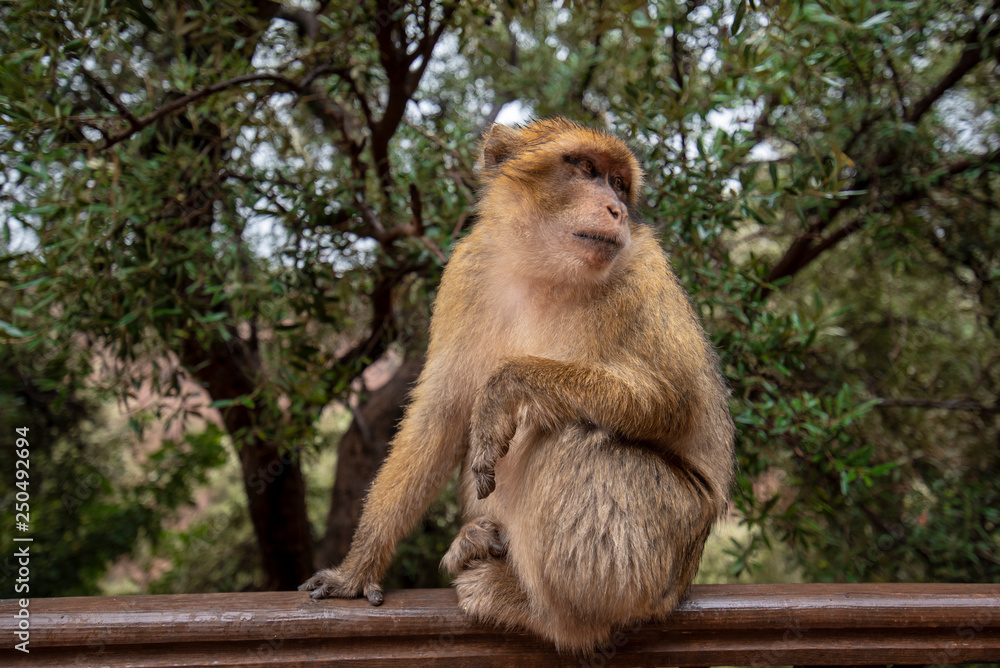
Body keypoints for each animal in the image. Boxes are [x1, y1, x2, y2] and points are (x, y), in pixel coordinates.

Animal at [300, 117, 735, 652]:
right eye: (585, 168)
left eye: (617, 183)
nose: (616, 209)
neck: (543, 269)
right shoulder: (467, 270)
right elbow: (440, 416)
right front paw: (356, 570)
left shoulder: (643, 270)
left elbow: (674, 402)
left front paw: (506, 388)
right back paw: (474, 546)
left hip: (668, 547)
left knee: (578, 442)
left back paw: (544, 611)